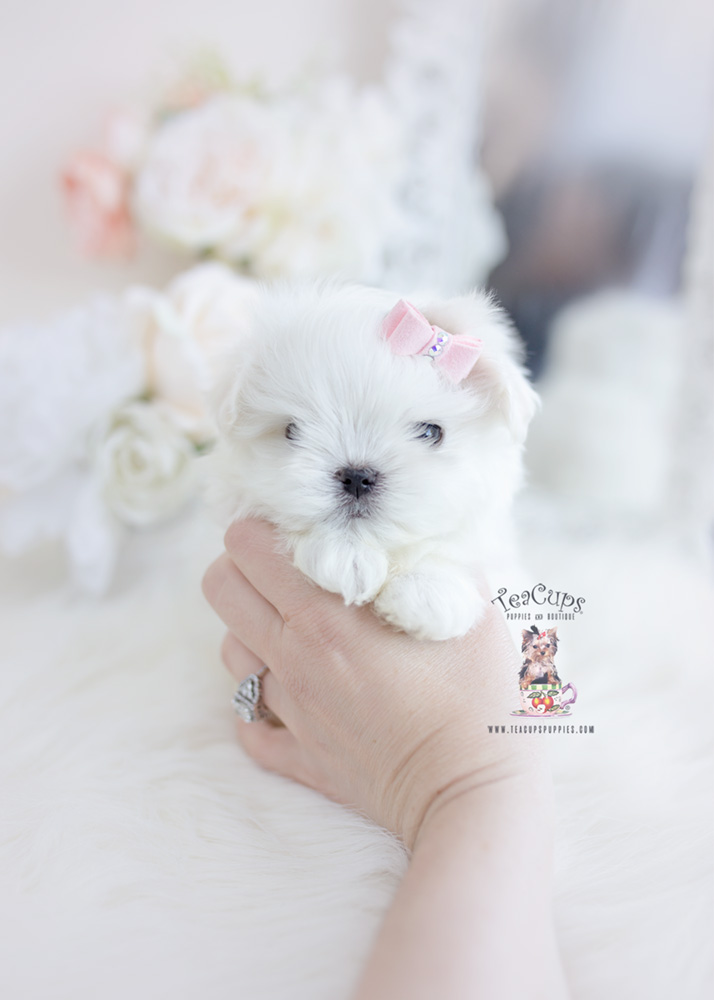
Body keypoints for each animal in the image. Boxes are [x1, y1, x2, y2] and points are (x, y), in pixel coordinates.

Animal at [206, 284, 536, 640]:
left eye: (431, 432)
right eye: (291, 430)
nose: (356, 477)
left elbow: (454, 542)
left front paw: (429, 591)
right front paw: (342, 555)